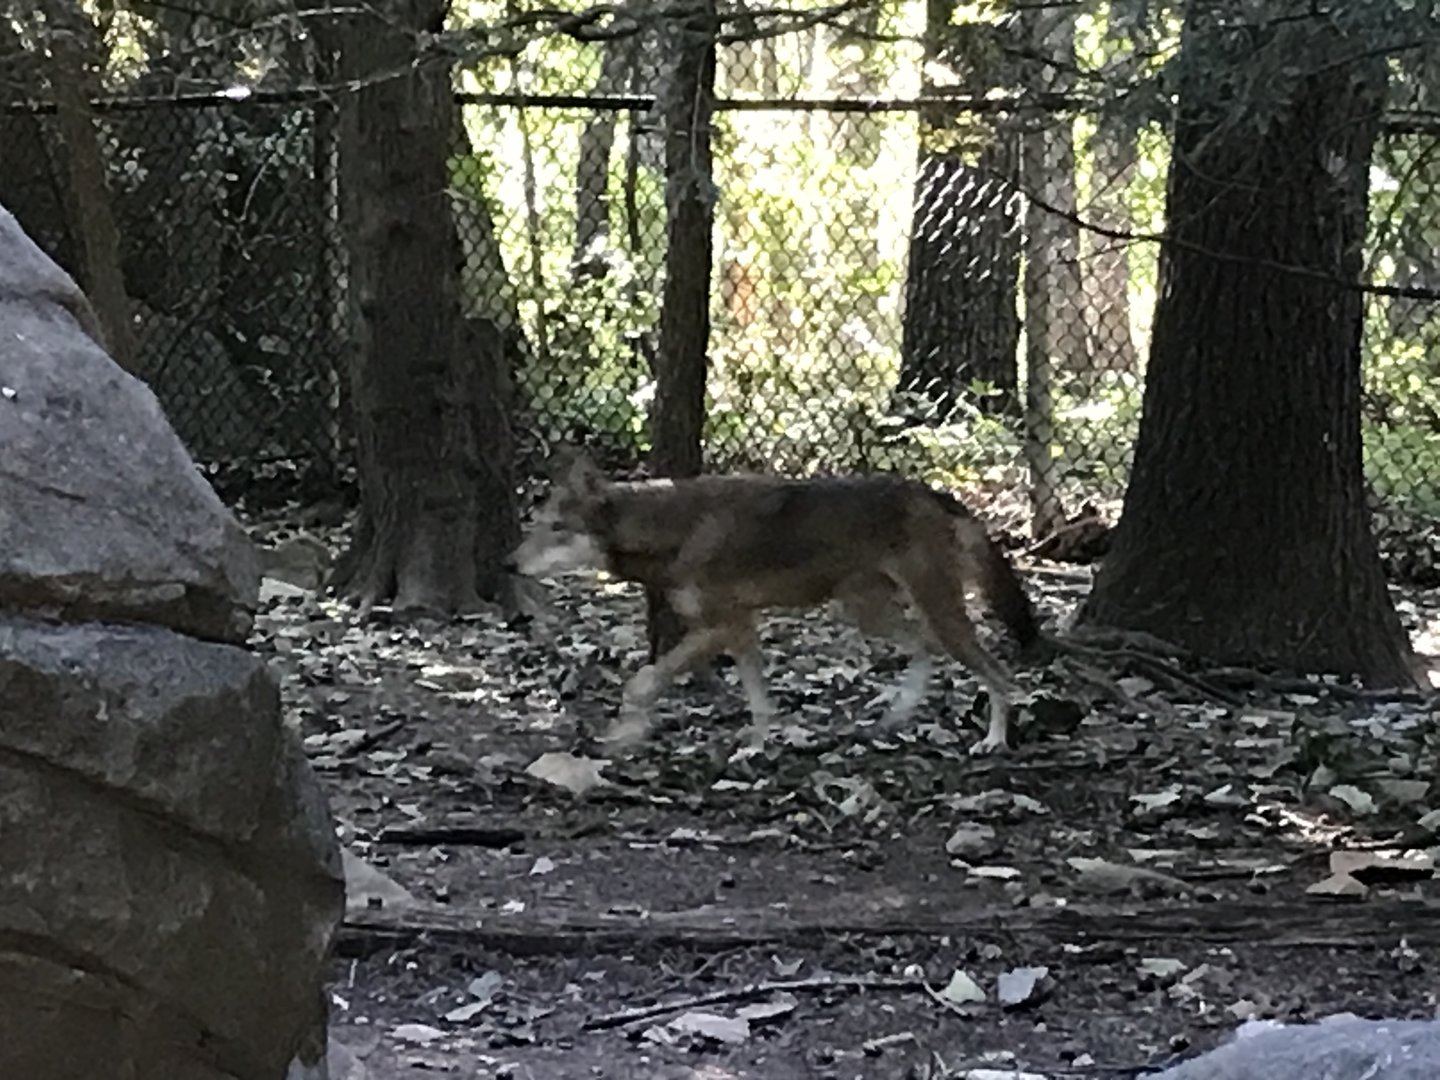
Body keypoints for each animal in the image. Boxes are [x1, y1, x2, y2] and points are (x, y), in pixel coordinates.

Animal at [511, 453, 1041, 755]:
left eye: (556, 529)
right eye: (534, 525)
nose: (509, 562)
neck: (673, 530)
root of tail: (935, 493)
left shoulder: (722, 626)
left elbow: (641, 682)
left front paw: (626, 734)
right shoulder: (741, 628)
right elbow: (759, 702)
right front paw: (756, 749)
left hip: (934, 613)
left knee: (998, 672)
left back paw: (993, 742)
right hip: (867, 611)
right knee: (925, 650)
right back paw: (897, 713)